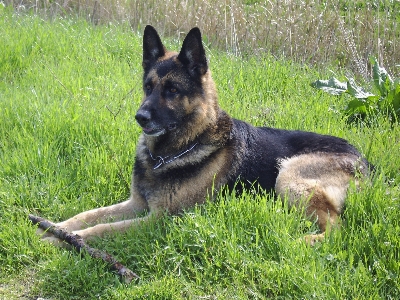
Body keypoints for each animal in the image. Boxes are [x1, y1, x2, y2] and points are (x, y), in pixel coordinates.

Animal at [40, 25, 368, 246]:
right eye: (148, 87)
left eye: (172, 90)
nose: (140, 117)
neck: (171, 153)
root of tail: (365, 161)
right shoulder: (136, 205)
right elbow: (90, 214)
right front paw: (55, 226)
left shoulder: (158, 219)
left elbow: (102, 228)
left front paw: (64, 239)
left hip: (289, 175)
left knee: (335, 230)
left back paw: (300, 241)